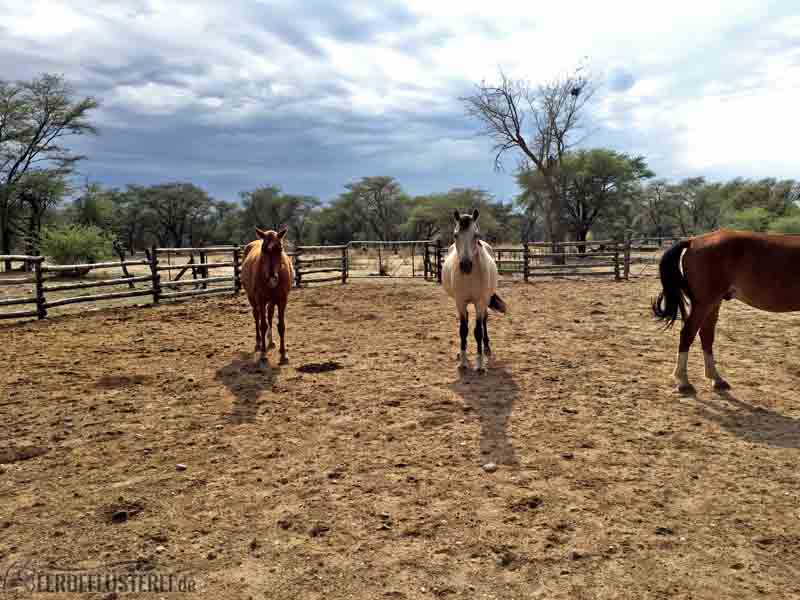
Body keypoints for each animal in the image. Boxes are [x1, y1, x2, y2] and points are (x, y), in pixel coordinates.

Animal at [244, 226, 296, 364]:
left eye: (280, 248)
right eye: (264, 249)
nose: (272, 279)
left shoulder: (282, 300)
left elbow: (281, 326)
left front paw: (283, 354)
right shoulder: (261, 300)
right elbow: (263, 325)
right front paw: (263, 354)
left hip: (272, 301)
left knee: (270, 315)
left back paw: (271, 341)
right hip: (252, 299)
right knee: (257, 316)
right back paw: (258, 343)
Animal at [444, 210, 506, 370]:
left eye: (476, 235)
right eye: (455, 235)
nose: (465, 265)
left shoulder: (480, 302)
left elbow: (478, 331)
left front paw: (480, 363)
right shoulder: (460, 302)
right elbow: (463, 330)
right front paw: (463, 361)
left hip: (485, 301)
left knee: (484, 320)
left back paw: (486, 348)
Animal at [652, 230, 800, 394]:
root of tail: (693, 241)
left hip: (713, 302)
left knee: (706, 335)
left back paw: (716, 379)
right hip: (705, 302)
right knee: (687, 334)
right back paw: (684, 382)